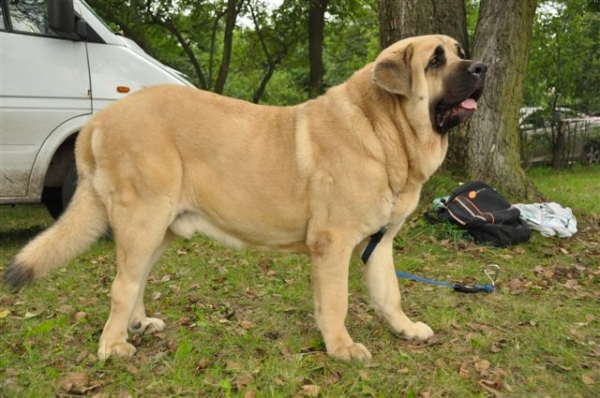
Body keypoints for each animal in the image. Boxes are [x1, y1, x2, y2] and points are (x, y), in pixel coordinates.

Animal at [2, 35, 486, 360]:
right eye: (436, 60)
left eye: (458, 51)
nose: (481, 67)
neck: (382, 129)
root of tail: (98, 121)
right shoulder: (332, 245)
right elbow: (337, 302)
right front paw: (341, 346)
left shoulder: (379, 244)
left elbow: (390, 294)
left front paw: (405, 329)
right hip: (143, 220)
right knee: (121, 285)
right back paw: (114, 344)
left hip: (158, 230)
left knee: (134, 280)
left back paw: (138, 324)